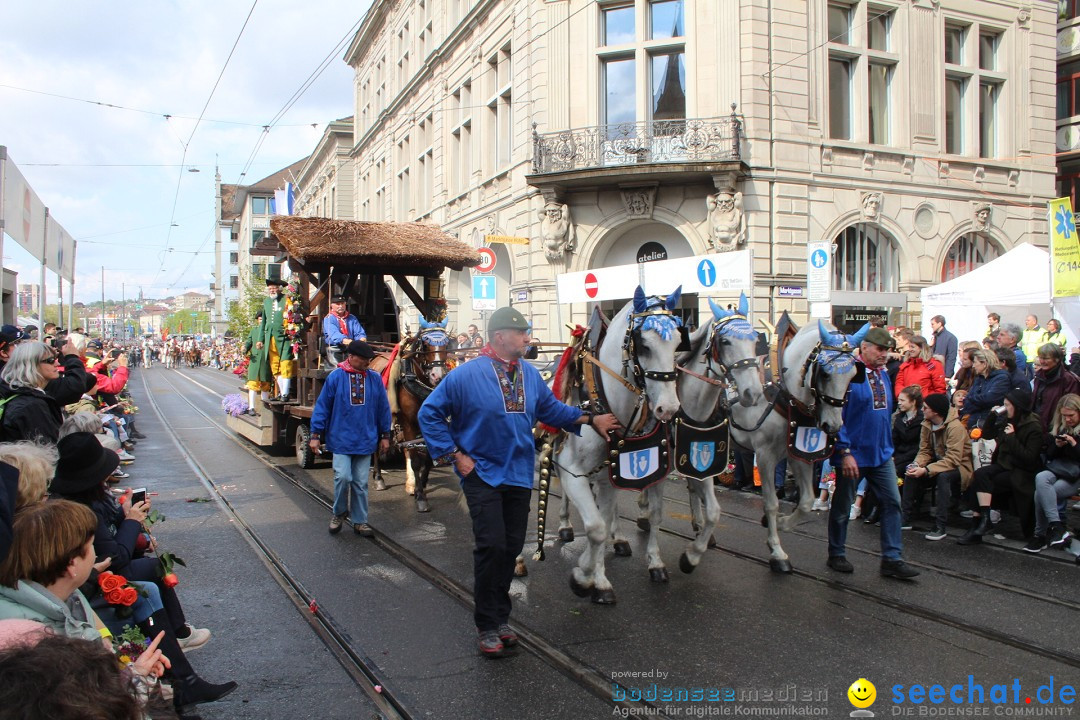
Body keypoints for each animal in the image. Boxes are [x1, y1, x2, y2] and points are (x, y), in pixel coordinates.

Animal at [548, 284, 682, 604]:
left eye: (678, 342)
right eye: (643, 345)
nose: (668, 409)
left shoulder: (623, 474)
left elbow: (608, 521)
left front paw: (598, 578)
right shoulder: (574, 473)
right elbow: (596, 528)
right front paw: (583, 577)